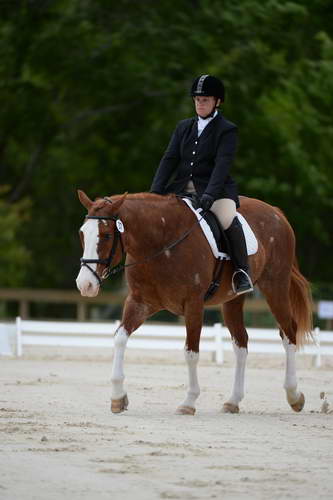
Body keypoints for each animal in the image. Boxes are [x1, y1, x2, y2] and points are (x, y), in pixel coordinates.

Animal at [75, 190, 312, 414]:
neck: (160, 242)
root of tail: (276, 212)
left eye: (106, 235)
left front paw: (188, 402)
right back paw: (233, 401)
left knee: (288, 333)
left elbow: (191, 353)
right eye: (82, 234)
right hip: (233, 299)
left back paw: (294, 396)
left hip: (275, 286)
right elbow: (119, 338)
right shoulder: (140, 302)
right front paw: (118, 398)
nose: (85, 285)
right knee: (241, 342)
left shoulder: (193, 304)